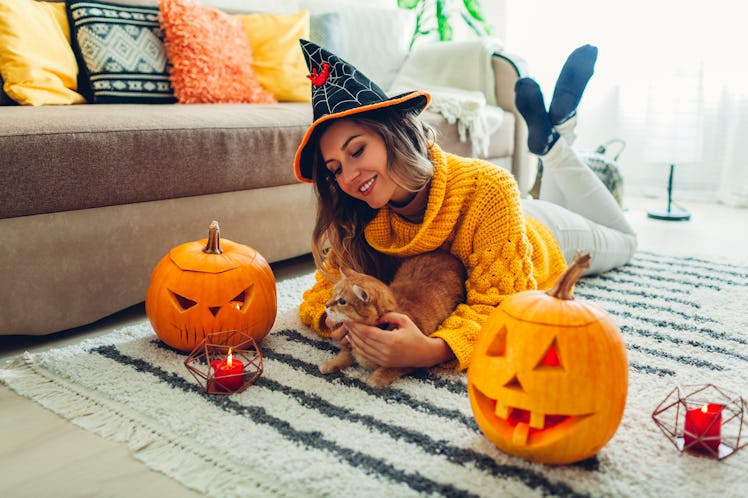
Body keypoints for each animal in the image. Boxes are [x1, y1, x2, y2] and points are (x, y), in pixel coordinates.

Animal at [320, 251, 464, 388]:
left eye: (342, 301)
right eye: (333, 294)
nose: (326, 305)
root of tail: (445, 255)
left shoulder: (410, 359)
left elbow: (390, 368)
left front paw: (376, 378)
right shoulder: (350, 345)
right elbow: (344, 354)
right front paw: (331, 363)